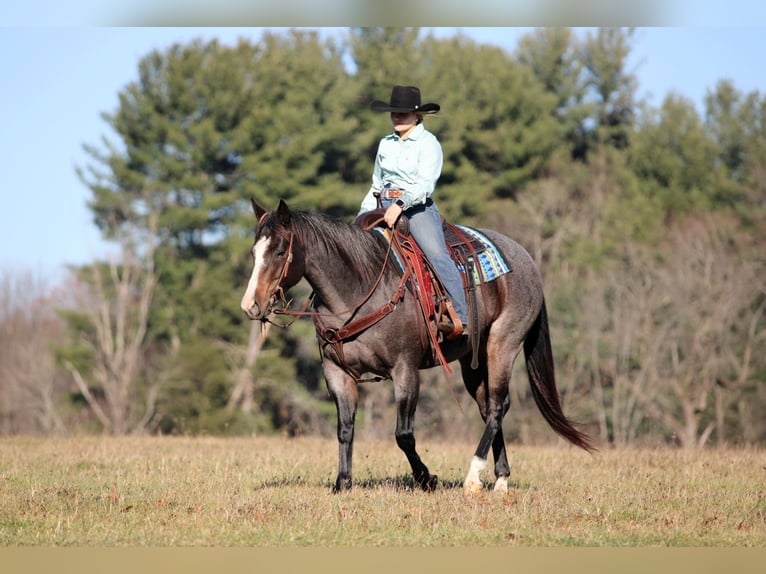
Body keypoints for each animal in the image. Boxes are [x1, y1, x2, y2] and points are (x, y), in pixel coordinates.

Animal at [240, 199, 594, 493]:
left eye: (279, 251)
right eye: (254, 253)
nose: (251, 305)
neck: (359, 289)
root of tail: (526, 259)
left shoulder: (406, 370)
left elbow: (403, 434)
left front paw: (427, 479)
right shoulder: (337, 372)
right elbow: (345, 429)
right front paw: (342, 484)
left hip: (503, 345)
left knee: (496, 407)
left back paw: (473, 476)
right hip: (473, 360)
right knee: (490, 408)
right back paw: (500, 480)